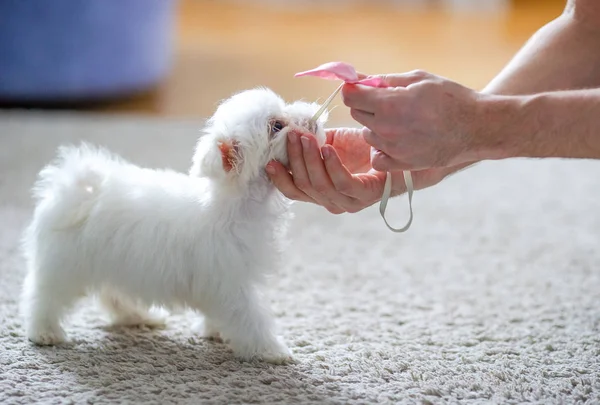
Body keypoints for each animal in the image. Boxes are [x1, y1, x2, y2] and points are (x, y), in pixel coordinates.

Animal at [18, 87, 328, 362]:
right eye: (277, 125)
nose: (313, 114)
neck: (235, 204)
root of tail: (72, 190)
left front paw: (214, 331)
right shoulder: (231, 282)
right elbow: (250, 318)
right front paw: (271, 351)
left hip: (112, 262)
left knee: (111, 295)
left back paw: (139, 316)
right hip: (65, 265)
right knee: (44, 296)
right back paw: (45, 332)